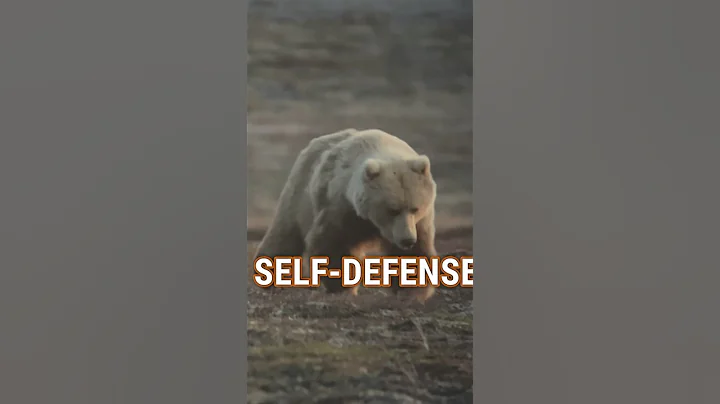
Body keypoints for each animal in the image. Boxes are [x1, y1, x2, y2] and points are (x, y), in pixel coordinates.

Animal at [253, 128, 439, 303]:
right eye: (392, 209)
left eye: (415, 208)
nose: (407, 240)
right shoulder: (342, 207)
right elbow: (334, 245)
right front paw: (342, 287)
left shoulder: (419, 222)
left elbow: (415, 253)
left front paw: (411, 291)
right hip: (300, 194)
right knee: (285, 233)